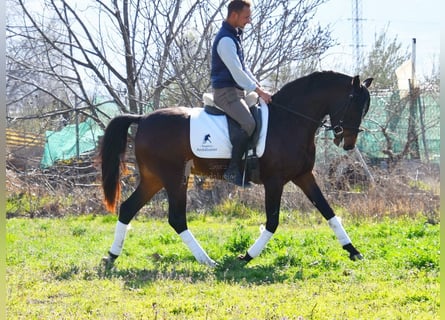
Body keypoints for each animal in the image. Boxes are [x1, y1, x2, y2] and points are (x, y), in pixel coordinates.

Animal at [99, 70, 372, 268]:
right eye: (354, 105)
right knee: (176, 219)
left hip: (154, 179)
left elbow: (328, 211)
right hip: (175, 179)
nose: (349, 143)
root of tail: (142, 118)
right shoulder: (275, 181)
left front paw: (354, 251)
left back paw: (111, 256)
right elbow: (273, 221)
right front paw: (247, 256)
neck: (289, 120)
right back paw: (208, 261)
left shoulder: (303, 176)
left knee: (128, 209)